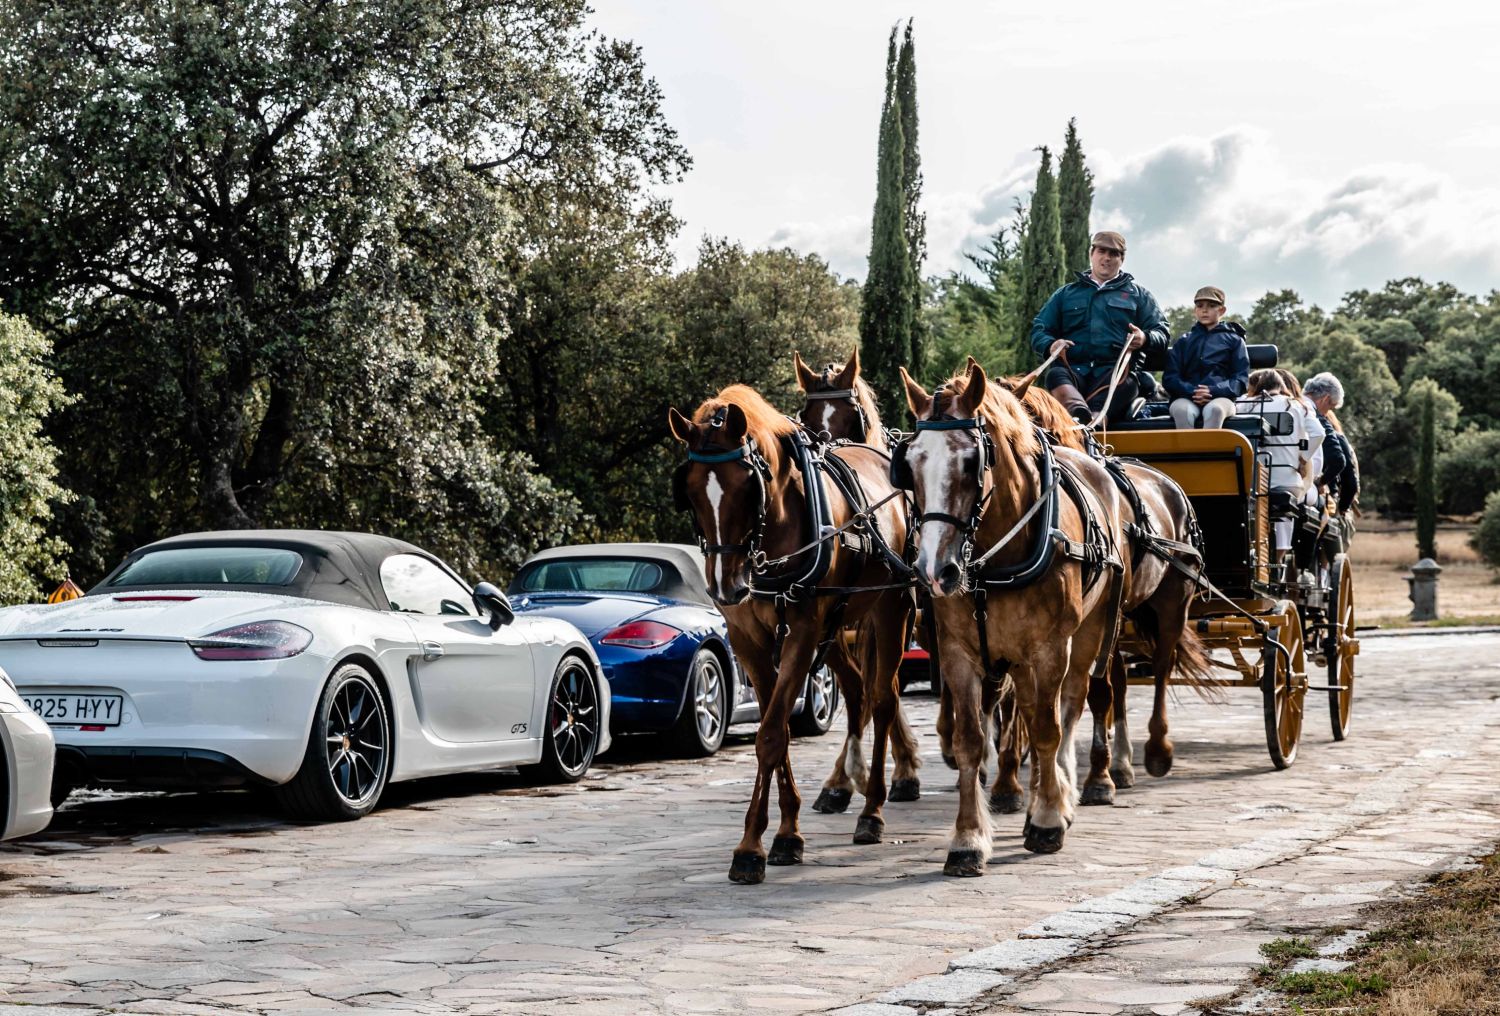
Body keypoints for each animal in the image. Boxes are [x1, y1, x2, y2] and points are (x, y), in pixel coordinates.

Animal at [672, 384, 906, 882]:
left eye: (747, 486)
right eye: (692, 491)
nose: (726, 585)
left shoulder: (800, 633)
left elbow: (771, 736)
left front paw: (753, 847)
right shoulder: (749, 641)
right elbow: (771, 727)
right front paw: (782, 833)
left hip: (891, 606)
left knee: (883, 699)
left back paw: (872, 810)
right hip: (835, 627)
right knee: (856, 689)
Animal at [888, 358, 1128, 870]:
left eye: (970, 461)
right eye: (909, 464)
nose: (933, 570)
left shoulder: (1051, 648)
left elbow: (1047, 729)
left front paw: (1048, 819)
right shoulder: (958, 653)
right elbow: (971, 741)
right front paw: (968, 838)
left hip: (1088, 635)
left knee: (1068, 706)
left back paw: (1061, 794)